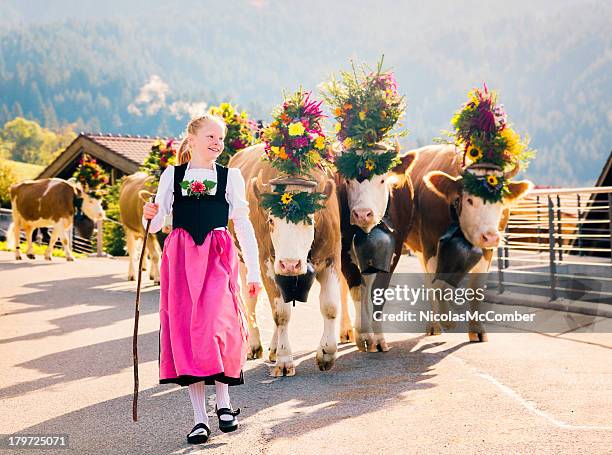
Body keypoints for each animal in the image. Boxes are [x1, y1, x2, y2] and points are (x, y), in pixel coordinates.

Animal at [227, 143, 342, 378]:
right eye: (271, 220)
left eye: (310, 220)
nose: (290, 264)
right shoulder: (267, 265)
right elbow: (280, 314)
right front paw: (284, 359)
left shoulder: (332, 258)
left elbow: (330, 306)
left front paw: (327, 353)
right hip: (244, 261)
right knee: (251, 301)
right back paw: (255, 345)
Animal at [334, 142, 420, 352]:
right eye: (348, 181)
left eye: (382, 180)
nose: (363, 213)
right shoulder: (343, 251)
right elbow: (355, 288)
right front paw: (364, 334)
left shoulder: (394, 251)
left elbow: (377, 291)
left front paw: (378, 338)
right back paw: (348, 329)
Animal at [404, 144, 532, 340]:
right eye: (470, 199)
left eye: (500, 201)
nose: (491, 237)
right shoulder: (430, 247)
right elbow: (437, 284)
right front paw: (445, 321)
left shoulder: (486, 252)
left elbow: (476, 289)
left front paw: (477, 329)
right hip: (420, 249)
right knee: (430, 283)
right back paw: (435, 324)